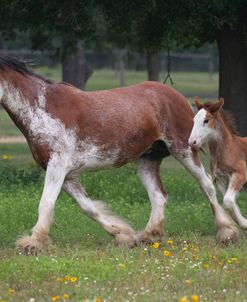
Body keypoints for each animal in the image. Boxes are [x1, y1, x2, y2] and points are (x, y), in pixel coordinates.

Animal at [0, 57, 236, 252]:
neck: (42, 108)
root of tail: (177, 96)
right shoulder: (66, 174)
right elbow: (88, 207)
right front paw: (123, 235)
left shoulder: (58, 166)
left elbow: (46, 202)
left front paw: (33, 242)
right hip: (147, 160)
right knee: (159, 196)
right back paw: (149, 236)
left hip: (184, 150)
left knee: (206, 185)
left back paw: (226, 232)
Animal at [189, 98, 247, 230]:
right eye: (194, 120)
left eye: (206, 120)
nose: (192, 142)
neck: (229, 148)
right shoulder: (221, 179)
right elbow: (228, 202)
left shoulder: (240, 174)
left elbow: (228, 200)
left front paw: (245, 223)